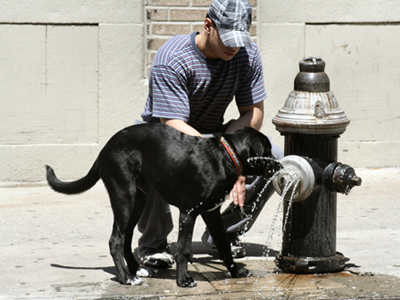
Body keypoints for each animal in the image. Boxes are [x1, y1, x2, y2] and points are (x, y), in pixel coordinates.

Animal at [45, 123, 280, 288]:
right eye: (267, 150)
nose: (279, 165)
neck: (226, 157)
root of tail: (105, 148)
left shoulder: (211, 212)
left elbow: (223, 244)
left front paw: (235, 272)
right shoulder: (188, 213)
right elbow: (184, 249)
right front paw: (183, 280)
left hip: (138, 200)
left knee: (126, 237)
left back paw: (136, 270)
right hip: (124, 195)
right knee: (115, 240)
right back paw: (126, 278)